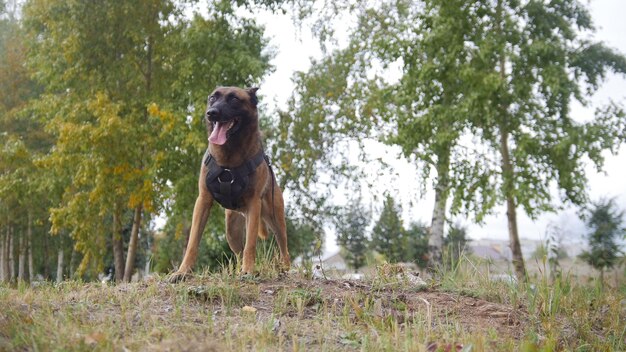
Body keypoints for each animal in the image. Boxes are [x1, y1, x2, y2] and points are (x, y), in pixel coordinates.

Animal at [168, 86, 290, 282]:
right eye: (212, 98)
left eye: (234, 99)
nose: (212, 113)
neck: (229, 158)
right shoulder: (202, 201)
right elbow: (193, 242)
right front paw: (183, 272)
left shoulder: (254, 205)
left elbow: (251, 245)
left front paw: (249, 271)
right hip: (231, 231)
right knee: (238, 252)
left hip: (275, 219)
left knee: (283, 249)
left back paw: (284, 270)